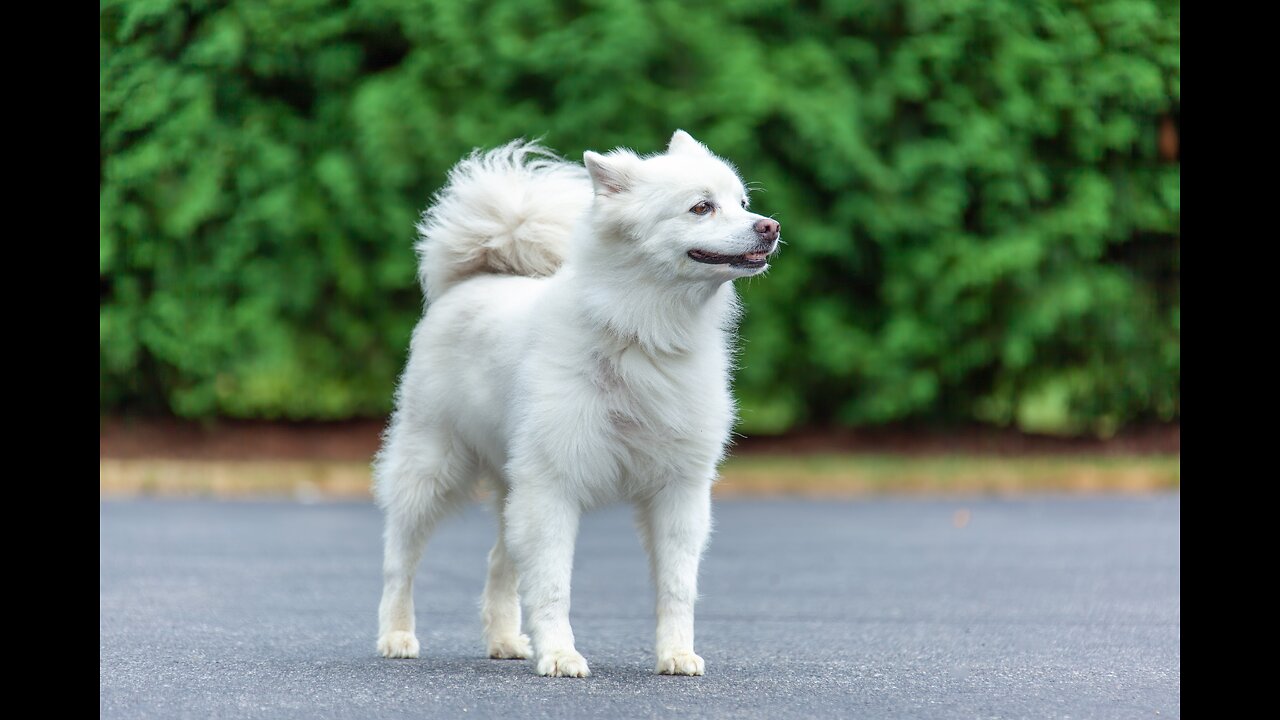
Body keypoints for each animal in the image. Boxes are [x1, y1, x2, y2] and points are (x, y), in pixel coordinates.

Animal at [373, 128, 778, 671]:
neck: (641, 334)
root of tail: (475, 278)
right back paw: (397, 636)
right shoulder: (552, 486)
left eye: (743, 203)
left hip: (511, 485)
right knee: (400, 560)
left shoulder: (679, 490)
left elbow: (677, 587)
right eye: (701, 208)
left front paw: (676, 654)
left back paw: (505, 641)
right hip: (431, 467)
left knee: (498, 562)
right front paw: (561, 656)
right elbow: (552, 586)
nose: (771, 227)